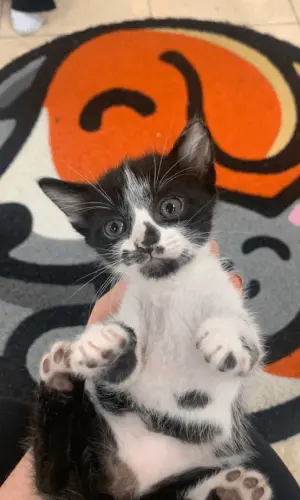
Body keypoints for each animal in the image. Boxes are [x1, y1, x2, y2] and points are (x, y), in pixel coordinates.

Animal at [34, 120, 270, 500]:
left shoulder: (230, 301)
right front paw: (101, 344)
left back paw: (230, 491)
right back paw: (59, 375)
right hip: (93, 438)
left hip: (190, 472)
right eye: (115, 227)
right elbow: (119, 369)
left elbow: (248, 345)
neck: (169, 287)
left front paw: (223, 337)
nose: (146, 239)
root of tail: (124, 486)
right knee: (51, 477)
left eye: (170, 207)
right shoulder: (128, 317)